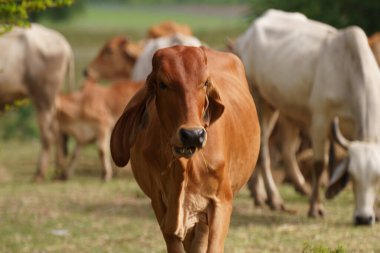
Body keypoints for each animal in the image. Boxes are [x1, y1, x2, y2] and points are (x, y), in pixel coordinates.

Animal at [0, 23, 74, 181]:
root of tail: (63, 42)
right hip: (50, 99)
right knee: (56, 130)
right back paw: (59, 173)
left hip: (43, 97)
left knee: (47, 134)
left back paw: (40, 174)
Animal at [108, 46, 260, 253]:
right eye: (163, 84)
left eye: (205, 83)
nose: (193, 134)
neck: (183, 166)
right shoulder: (160, 205)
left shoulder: (222, 201)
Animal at [233, 8, 380, 224]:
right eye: (352, 175)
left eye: (378, 177)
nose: (363, 218)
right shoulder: (320, 119)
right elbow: (320, 164)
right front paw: (315, 207)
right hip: (258, 100)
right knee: (262, 150)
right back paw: (272, 198)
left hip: (278, 107)